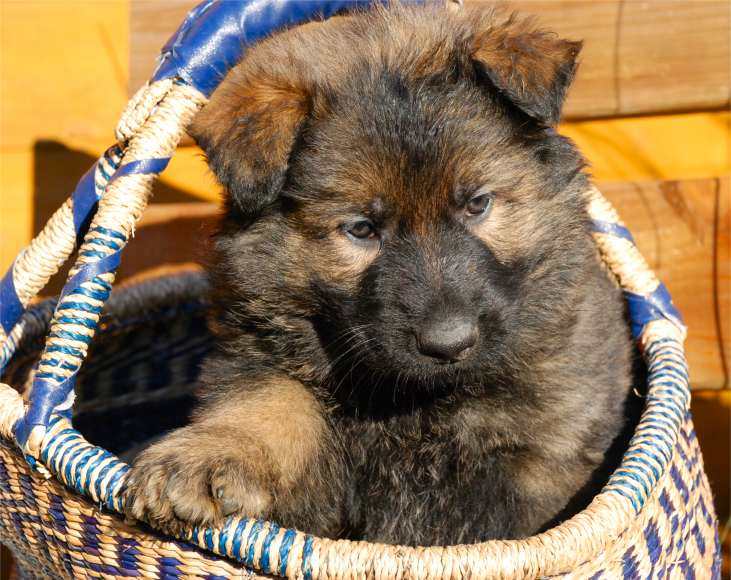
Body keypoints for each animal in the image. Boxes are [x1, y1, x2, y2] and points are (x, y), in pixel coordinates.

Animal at [125, 3, 638, 546]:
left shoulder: (545, 448)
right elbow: (267, 405)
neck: (417, 400)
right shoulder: (260, 354)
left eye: (478, 203)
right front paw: (204, 458)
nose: (449, 343)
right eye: (361, 229)